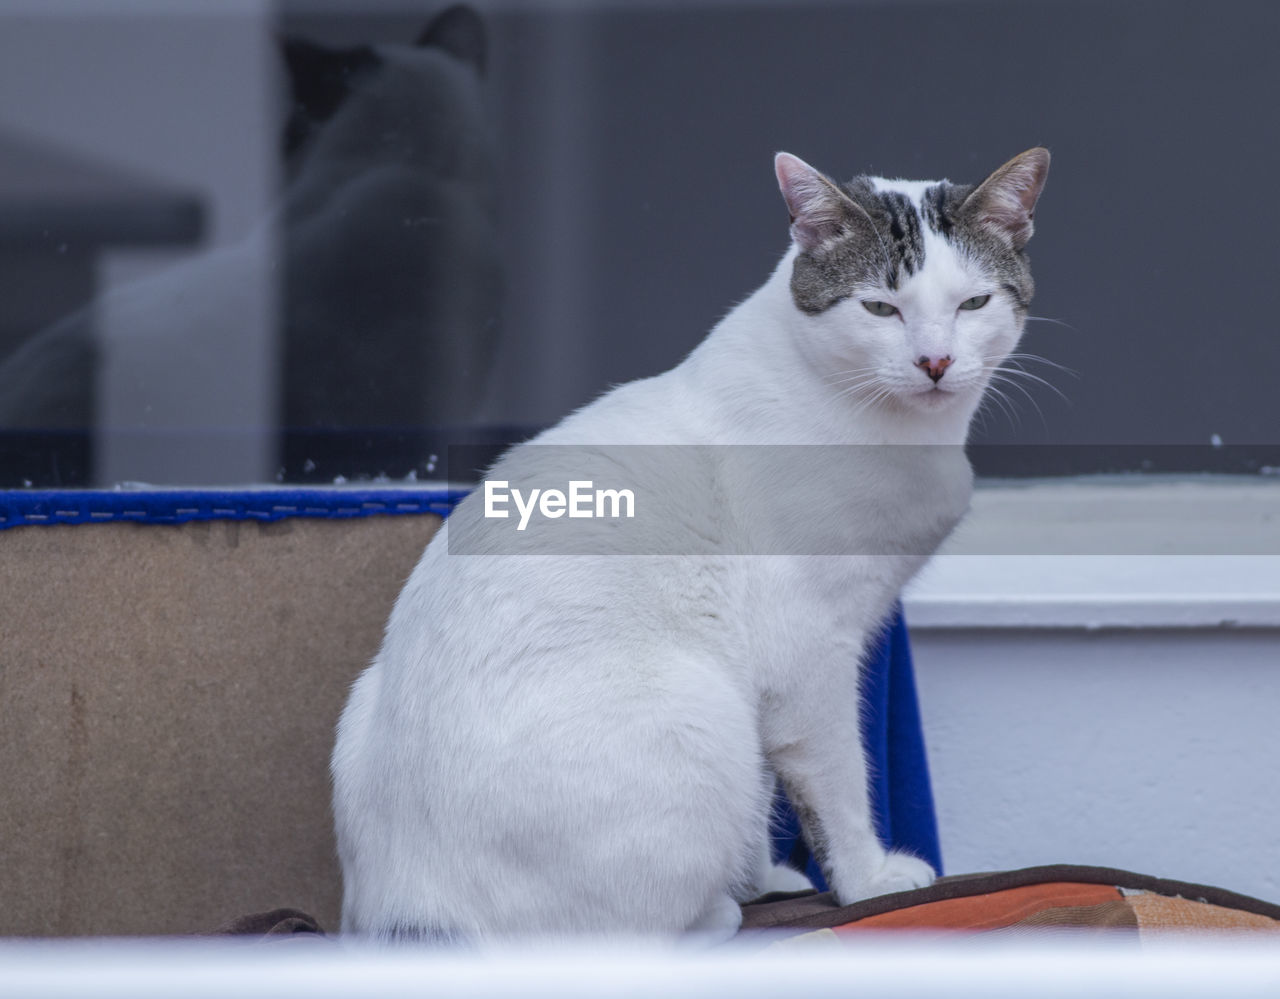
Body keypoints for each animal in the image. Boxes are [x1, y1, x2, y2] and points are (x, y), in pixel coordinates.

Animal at [330, 144, 1049, 942]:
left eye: (972, 305)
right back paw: (719, 910)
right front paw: (867, 881)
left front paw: (766, 875)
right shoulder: (811, 651)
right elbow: (837, 785)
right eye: (880, 308)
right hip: (696, 714)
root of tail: (413, 905)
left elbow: (768, 787)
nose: (935, 363)